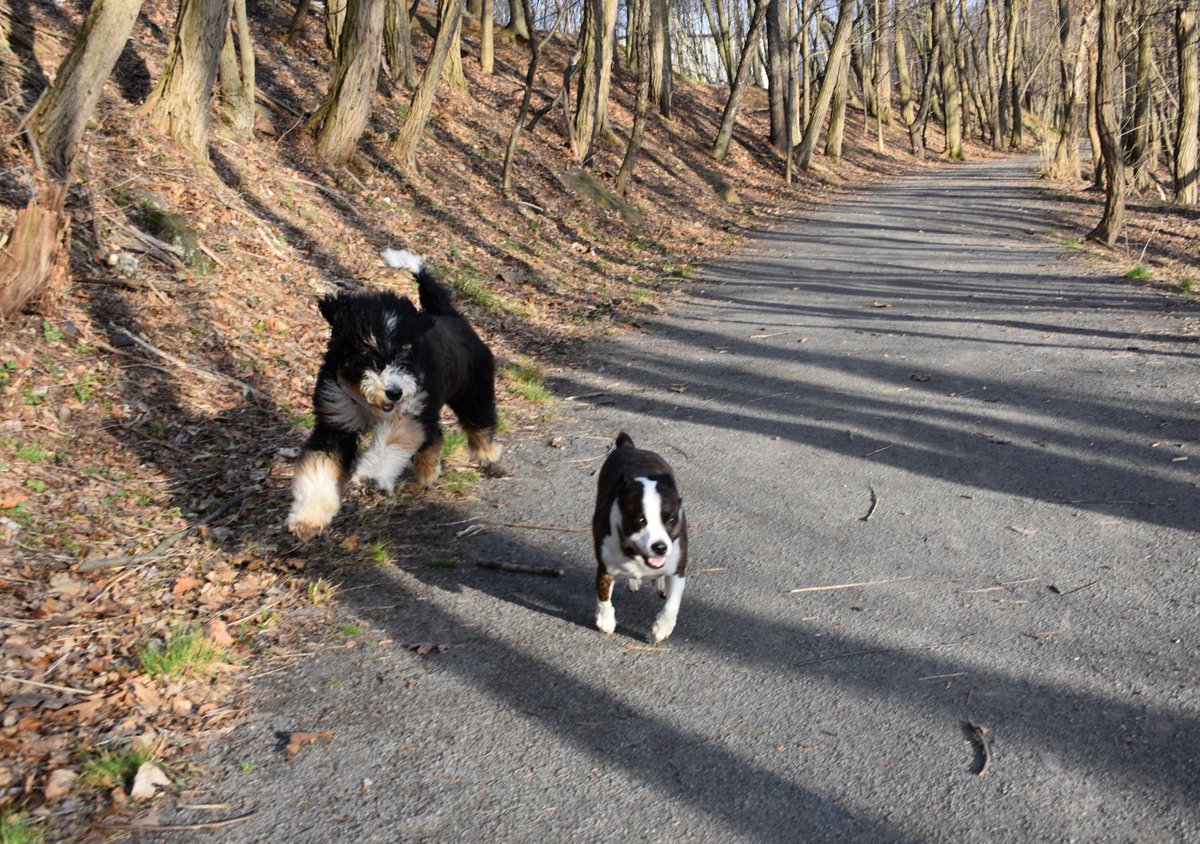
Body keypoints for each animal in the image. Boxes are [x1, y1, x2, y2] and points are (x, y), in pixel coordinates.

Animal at [288, 250, 499, 537]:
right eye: (367, 352)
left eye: (405, 353)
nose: (394, 392)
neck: (367, 402)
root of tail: (452, 316)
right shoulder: (336, 420)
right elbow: (320, 464)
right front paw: (308, 516)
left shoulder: (407, 413)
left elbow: (390, 443)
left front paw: (371, 476)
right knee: (435, 434)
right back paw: (428, 469)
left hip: (472, 391)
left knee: (479, 421)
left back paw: (487, 452)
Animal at [592, 432, 691, 643]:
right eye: (640, 519)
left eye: (671, 519)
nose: (660, 547)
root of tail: (630, 447)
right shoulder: (605, 568)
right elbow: (604, 596)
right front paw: (605, 621)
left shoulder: (678, 570)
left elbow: (672, 604)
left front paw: (662, 628)